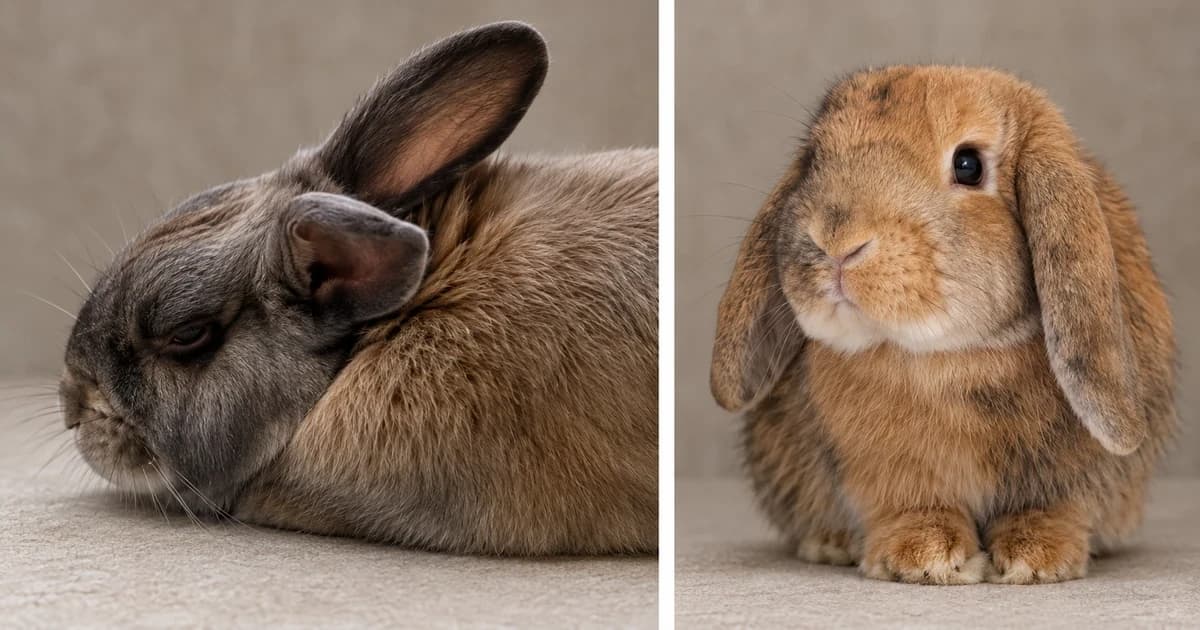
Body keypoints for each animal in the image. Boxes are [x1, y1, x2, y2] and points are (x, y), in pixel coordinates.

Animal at [711, 65, 1176, 584]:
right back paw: (831, 544)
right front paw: (923, 555)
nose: (836, 242)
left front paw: (1037, 558)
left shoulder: (1069, 474)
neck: (946, 356)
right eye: (814, 158)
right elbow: (911, 505)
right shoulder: (886, 472)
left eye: (968, 165)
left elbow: (1052, 506)